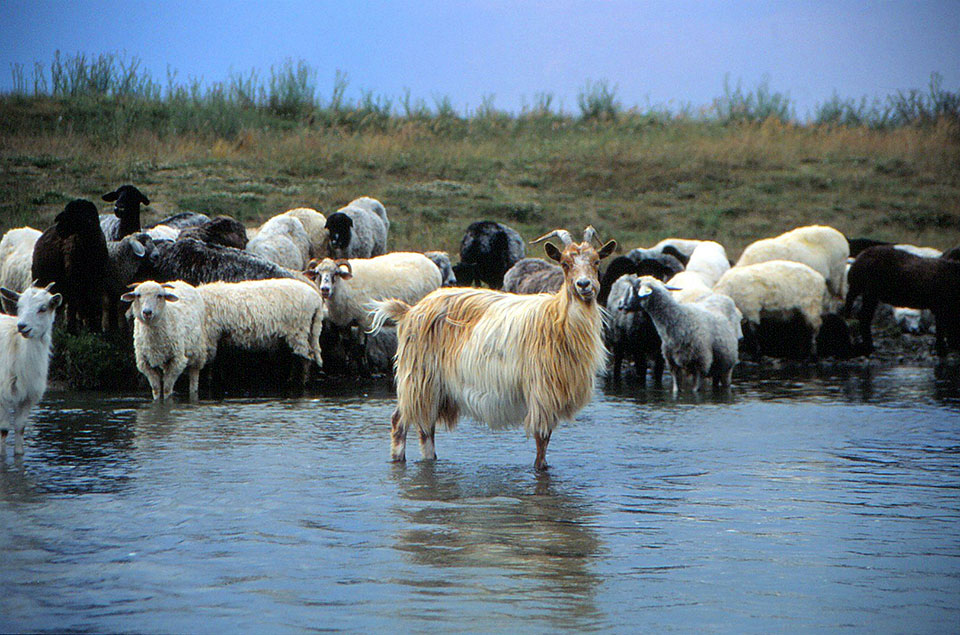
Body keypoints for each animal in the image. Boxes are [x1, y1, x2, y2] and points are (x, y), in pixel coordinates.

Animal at [0, 284, 61, 458]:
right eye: (19, 306)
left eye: (43, 308)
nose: (22, 326)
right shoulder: (2, 397)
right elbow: (4, 430)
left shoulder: (27, 397)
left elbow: (20, 428)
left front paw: (19, 455)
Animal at [32, 199, 111, 332]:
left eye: (74, 214)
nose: (59, 228)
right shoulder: (73, 280)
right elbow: (73, 305)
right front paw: (72, 330)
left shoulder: (96, 281)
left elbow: (94, 303)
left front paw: (95, 328)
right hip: (45, 278)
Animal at [368, 229, 616, 472]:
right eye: (565, 263)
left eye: (596, 262)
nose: (583, 285)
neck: (556, 318)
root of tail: (408, 311)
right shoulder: (542, 393)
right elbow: (541, 443)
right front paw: (539, 469)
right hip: (417, 377)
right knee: (399, 421)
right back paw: (399, 460)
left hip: (435, 387)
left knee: (426, 428)